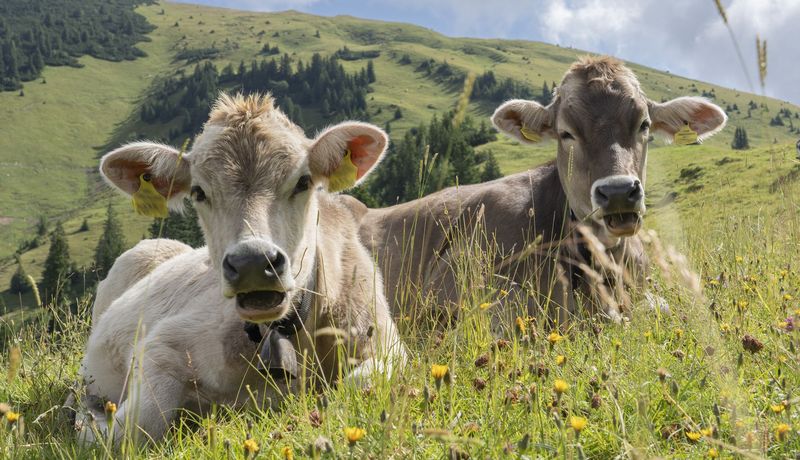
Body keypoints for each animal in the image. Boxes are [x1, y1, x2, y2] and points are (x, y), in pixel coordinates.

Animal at [74, 93, 407, 445]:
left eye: (303, 181)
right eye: (198, 192)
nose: (253, 262)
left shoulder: (388, 345)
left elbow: (360, 386)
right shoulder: (162, 344)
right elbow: (132, 428)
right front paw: (91, 419)